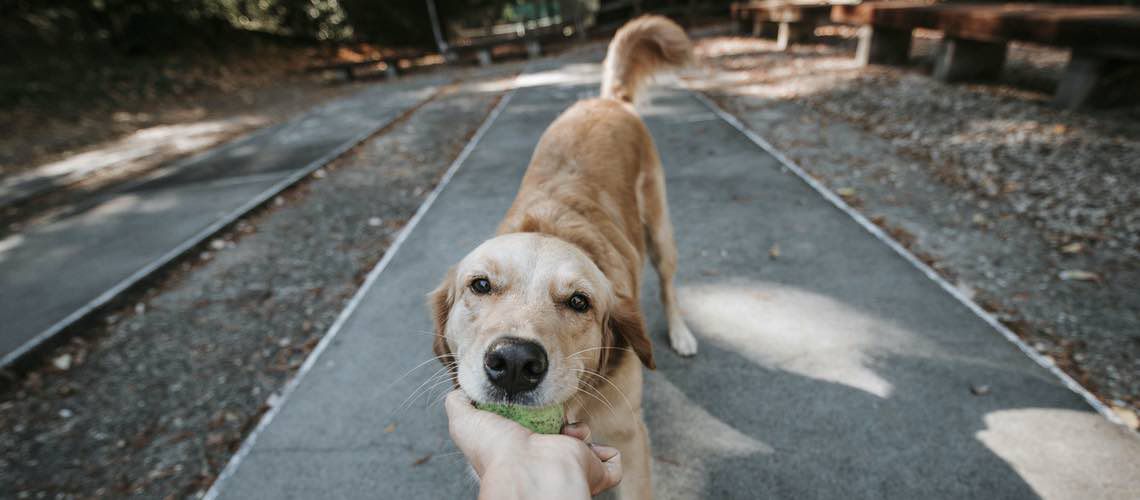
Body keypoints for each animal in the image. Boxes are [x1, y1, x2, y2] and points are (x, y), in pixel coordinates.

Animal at [428, 15, 688, 500]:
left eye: (579, 302)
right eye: (480, 285)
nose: (514, 363)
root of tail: (607, 100)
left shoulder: (630, 441)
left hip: (660, 228)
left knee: (668, 282)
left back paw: (681, 333)